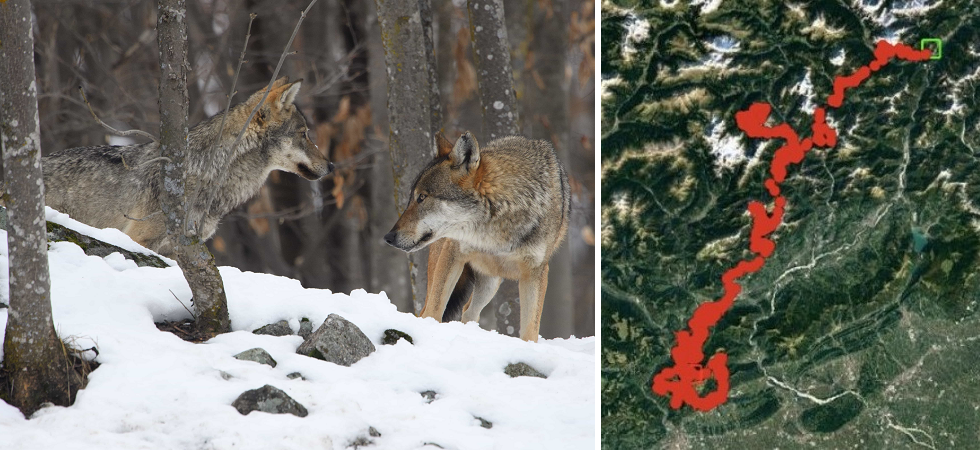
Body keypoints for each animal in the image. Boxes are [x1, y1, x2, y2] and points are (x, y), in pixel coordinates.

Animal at [383, 131, 570, 342]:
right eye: (412, 198)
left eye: (422, 197)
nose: (388, 237)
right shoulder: (453, 252)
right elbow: (433, 311)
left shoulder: (536, 272)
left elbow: (530, 331)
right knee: (428, 310)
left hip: (490, 284)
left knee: (469, 312)